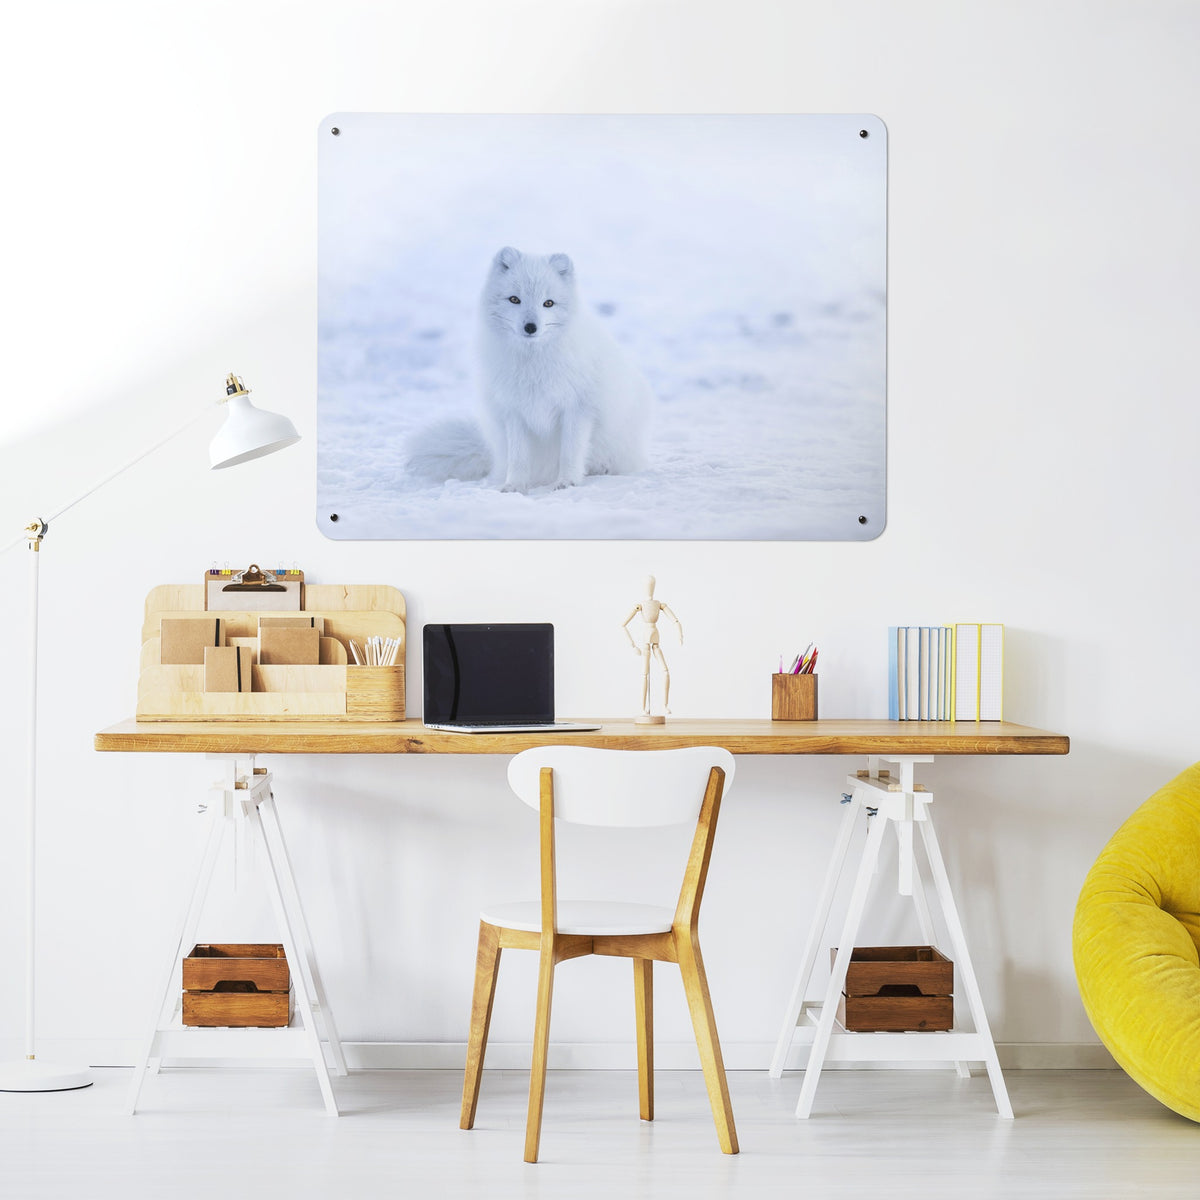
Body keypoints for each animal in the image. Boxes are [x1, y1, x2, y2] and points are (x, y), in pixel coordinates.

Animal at [404, 246, 653, 492]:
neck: (533, 363)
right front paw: (514, 486)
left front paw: (567, 482)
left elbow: (570, 452)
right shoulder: (514, 411)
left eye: (548, 303)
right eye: (515, 299)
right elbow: (519, 457)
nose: (531, 327)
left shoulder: (578, 408)